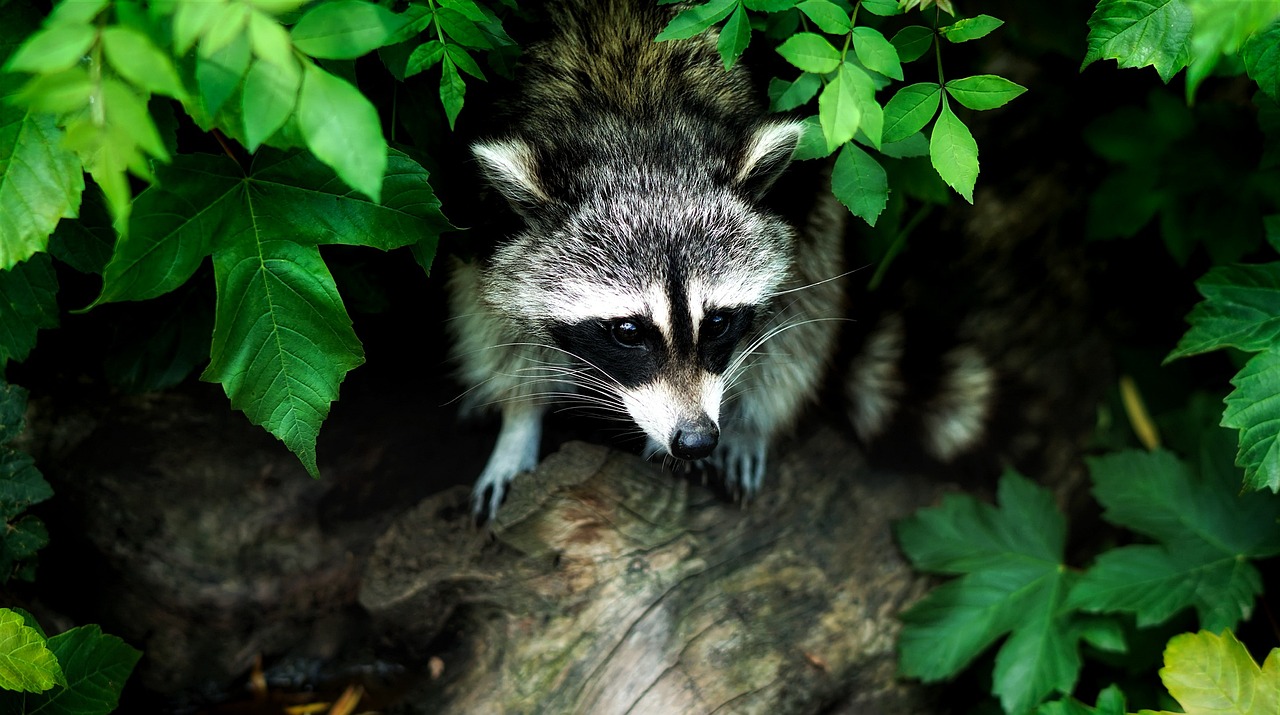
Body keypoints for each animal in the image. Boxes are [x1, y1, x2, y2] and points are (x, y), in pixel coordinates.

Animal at [446, 0, 847, 518]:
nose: (696, 440)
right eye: (628, 331)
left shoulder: (799, 192)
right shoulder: (484, 216)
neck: (637, 117)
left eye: (718, 323)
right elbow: (494, 317)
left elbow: (796, 308)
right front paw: (519, 420)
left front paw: (745, 422)